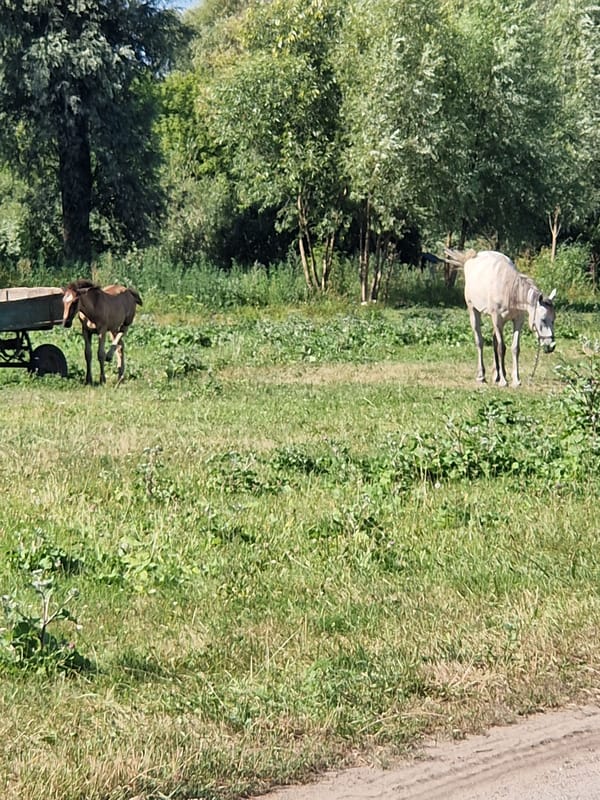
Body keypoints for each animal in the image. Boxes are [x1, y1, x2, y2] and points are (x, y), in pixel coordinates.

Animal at [445, 249, 556, 387]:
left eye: (553, 320)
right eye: (543, 319)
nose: (551, 346)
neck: (509, 289)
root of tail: (469, 260)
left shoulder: (518, 320)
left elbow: (514, 348)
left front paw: (515, 380)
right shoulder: (497, 319)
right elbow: (501, 348)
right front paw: (503, 381)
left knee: (494, 342)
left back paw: (496, 375)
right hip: (473, 311)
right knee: (480, 342)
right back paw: (482, 376)